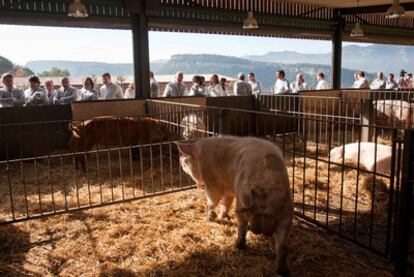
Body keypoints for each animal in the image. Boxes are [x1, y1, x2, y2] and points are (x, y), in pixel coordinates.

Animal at [176, 136, 292, 274]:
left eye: (186, 160)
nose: (180, 159)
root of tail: (266, 185)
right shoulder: (229, 190)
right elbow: (226, 203)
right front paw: (223, 217)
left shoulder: (213, 182)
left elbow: (212, 200)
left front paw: (210, 218)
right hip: (286, 214)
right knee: (282, 246)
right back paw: (282, 271)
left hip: (242, 202)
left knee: (242, 226)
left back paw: (238, 246)